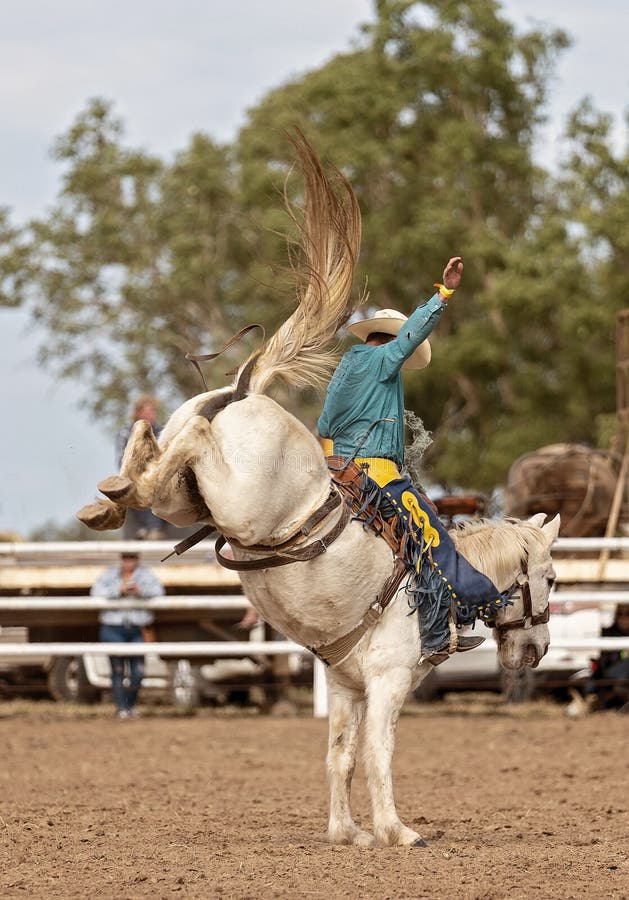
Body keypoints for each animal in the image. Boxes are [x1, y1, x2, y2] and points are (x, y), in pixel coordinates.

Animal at [79, 132, 560, 844]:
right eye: (551, 577)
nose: (537, 651)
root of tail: (247, 390)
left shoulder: (347, 684)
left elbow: (341, 753)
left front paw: (346, 832)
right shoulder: (389, 681)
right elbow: (378, 752)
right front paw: (397, 831)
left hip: (187, 498)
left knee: (163, 448)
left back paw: (113, 490)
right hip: (242, 501)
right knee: (193, 441)